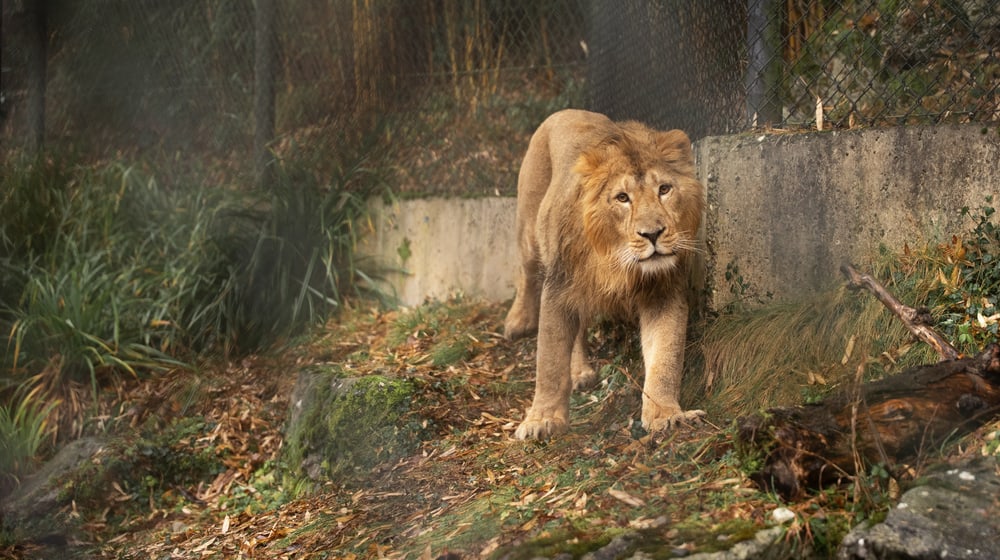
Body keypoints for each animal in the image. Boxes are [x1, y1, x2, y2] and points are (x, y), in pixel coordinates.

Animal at [504, 109, 705, 440]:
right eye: (622, 198)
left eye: (664, 189)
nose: (653, 234)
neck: (619, 265)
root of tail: (566, 111)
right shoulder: (558, 287)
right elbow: (549, 362)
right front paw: (542, 420)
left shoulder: (663, 292)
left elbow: (665, 358)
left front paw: (666, 416)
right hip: (529, 230)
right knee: (525, 272)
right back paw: (517, 322)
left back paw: (580, 372)